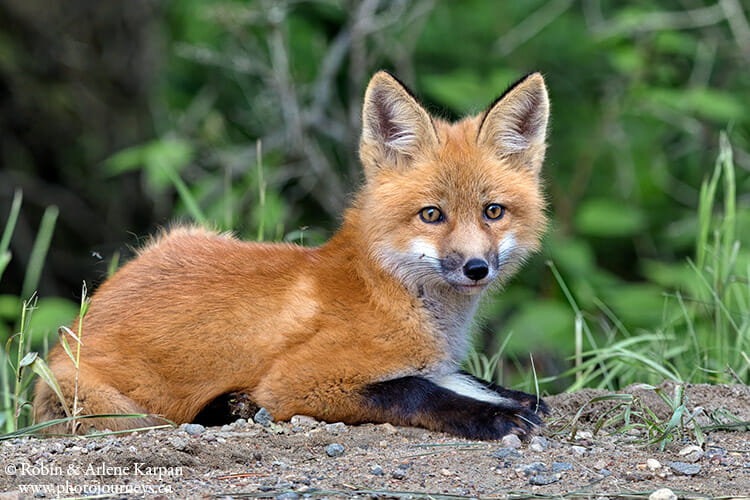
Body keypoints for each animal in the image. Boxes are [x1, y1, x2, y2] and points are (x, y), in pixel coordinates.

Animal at [33, 70, 552, 438]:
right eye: (431, 215)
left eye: (493, 211)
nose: (476, 268)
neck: (391, 291)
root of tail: (74, 329)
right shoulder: (297, 382)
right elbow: (414, 390)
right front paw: (492, 417)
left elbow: (460, 377)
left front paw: (513, 397)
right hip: (118, 407)